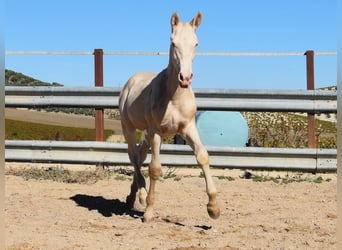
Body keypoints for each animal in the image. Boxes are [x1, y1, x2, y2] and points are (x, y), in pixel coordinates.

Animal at [118, 11, 219, 223]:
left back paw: (132, 196)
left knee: (140, 154)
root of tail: (132, 80)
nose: (185, 78)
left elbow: (202, 156)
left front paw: (214, 208)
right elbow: (155, 168)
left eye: (196, 43)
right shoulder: (156, 130)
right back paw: (140, 196)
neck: (174, 97)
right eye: (173, 42)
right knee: (134, 156)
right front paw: (148, 212)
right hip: (129, 127)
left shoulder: (188, 127)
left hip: (149, 133)